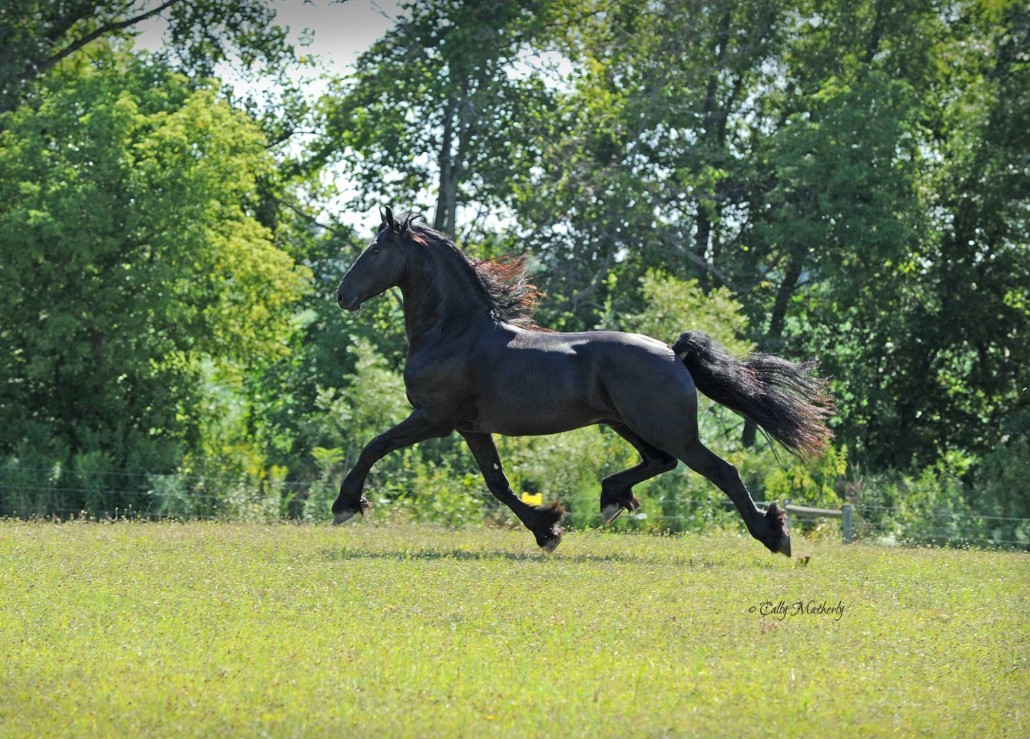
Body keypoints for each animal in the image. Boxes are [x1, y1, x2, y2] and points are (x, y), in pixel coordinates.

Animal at [333, 206, 832, 552]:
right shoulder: (470, 428)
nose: (343, 295)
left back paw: (773, 536)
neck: (455, 333)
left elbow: (374, 446)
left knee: (719, 470)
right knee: (660, 461)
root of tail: (674, 352)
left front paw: (345, 506)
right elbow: (498, 483)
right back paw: (612, 497)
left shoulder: (434, 417)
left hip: (667, 428)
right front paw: (547, 530)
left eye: (374, 250)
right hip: (624, 423)